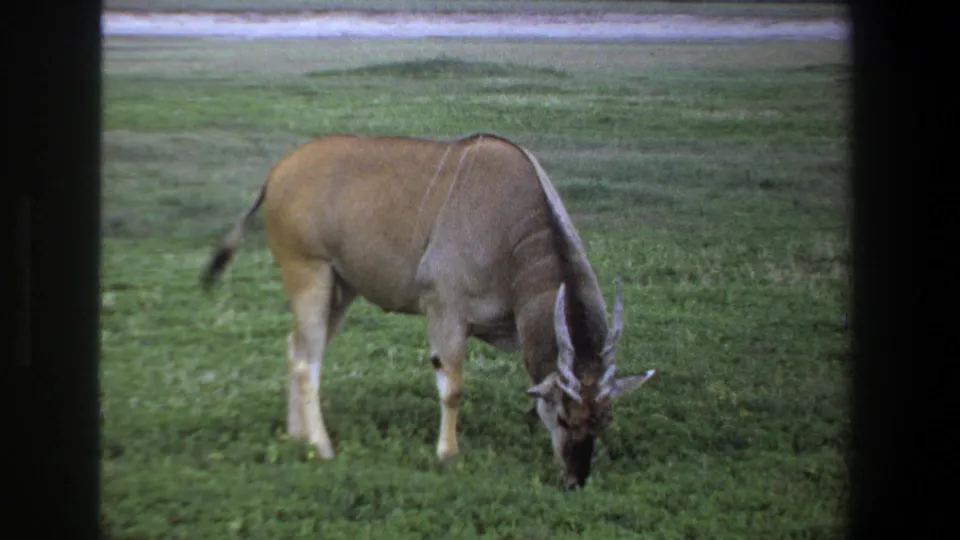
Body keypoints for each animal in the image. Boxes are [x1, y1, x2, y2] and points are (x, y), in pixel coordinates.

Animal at [201, 133, 656, 490]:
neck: (511, 229)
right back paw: (323, 447)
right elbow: (452, 388)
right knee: (306, 361)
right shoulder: (445, 310)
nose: (577, 480)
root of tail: (277, 173)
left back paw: (298, 437)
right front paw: (447, 455)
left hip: (340, 290)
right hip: (309, 274)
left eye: (604, 420)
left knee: (296, 348)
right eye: (562, 417)